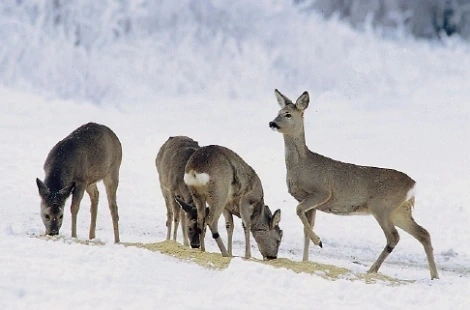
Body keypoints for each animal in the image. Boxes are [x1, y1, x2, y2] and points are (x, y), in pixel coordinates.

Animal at [270, 89, 438, 278]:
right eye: (278, 112)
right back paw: (434, 276)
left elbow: (299, 212)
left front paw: (318, 241)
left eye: (288, 114)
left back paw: (372, 270)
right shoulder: (309, 202)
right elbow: (306, 228)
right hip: (399, 211)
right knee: (424, 233)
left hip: (381, 207)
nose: (272, 123)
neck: (302, 165)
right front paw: (306, 260)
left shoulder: (322, 192)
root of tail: (413, 186)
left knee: (394, 236)